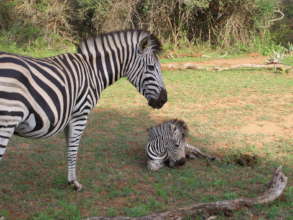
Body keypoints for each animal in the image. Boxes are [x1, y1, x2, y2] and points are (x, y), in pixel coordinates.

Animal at [0, 29, 167, 191]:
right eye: (151, 67)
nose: (164, 100)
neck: (93, 72)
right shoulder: (81, 114)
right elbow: (74, 150)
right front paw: (74, 183)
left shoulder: (69, 118)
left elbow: (69, 148)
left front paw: (70, 180)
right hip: (6, 123)